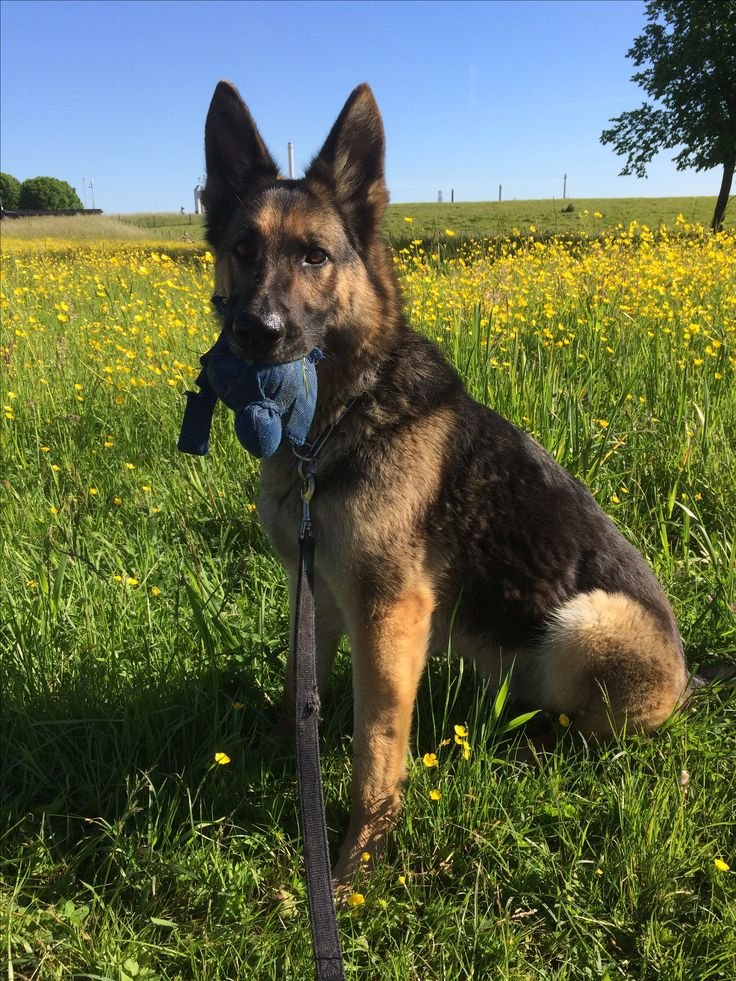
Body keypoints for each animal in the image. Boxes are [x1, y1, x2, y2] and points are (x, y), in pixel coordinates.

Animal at [201, 82, 688, 880]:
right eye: (243, 249)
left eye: (314, 256)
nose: (255, 332)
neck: (344, 419)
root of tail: (689, 677)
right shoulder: (321, 590)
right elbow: (302, 683)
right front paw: (284, 749)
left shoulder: (387, 613)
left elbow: (375, 747)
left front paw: (357, 860)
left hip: (587, 621)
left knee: (587, 730)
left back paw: (529, 747)